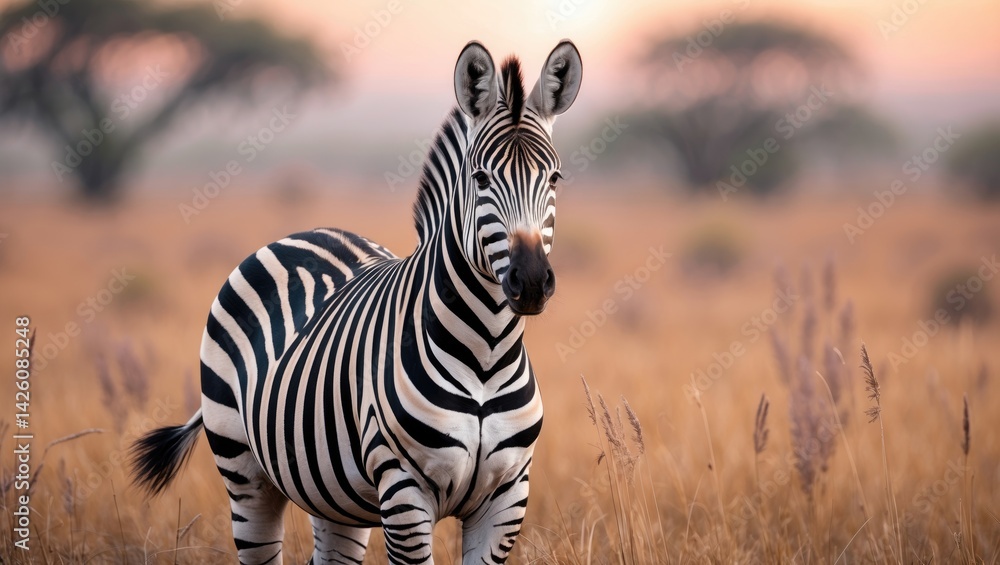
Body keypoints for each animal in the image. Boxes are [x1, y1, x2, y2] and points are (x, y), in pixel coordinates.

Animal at [130, 39, 582, 564]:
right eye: (481, 178)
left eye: (555, 178)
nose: (529, 282)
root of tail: (310, 231)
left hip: (333, 496)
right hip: (244, 472)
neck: (487, 352)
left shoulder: (507, 497)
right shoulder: (404, 493)